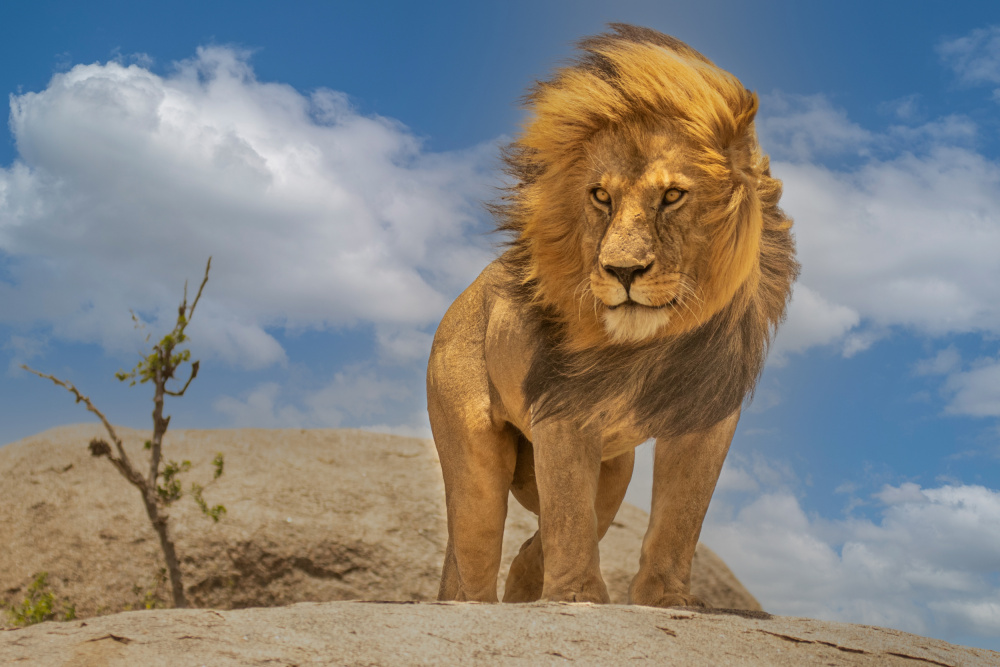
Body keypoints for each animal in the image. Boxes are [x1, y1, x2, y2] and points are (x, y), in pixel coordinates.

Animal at [427, 24, 797, 606]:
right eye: (600, 195)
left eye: (673, 195)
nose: (622, 270)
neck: (652, 344)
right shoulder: (563, 410)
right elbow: (569, 511)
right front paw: (577, 597)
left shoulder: (707, 415)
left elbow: (679, 515)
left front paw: (664, 599)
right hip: (474, 453)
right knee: (475, 548)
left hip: (615, 467)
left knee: (543, 539)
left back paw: (527, 585)